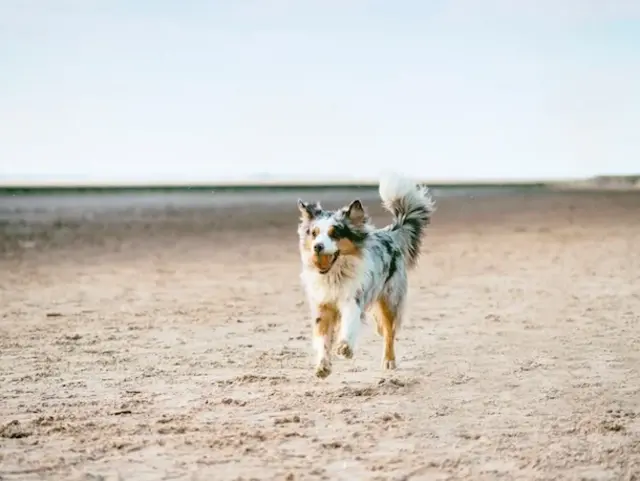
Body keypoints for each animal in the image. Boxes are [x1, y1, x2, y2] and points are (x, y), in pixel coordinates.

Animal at [296, 173, 436, 378]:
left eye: (335, 233)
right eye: (314, 233)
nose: (317, 247)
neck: (334, 275)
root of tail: (390, 234)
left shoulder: (353, 298)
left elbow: (350, 323)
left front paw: (345, 347)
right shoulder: (322, 305)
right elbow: (322, 338)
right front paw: (323, 366)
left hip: (390, 300)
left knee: (389, 331)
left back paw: (388, 361)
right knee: (382, 329)